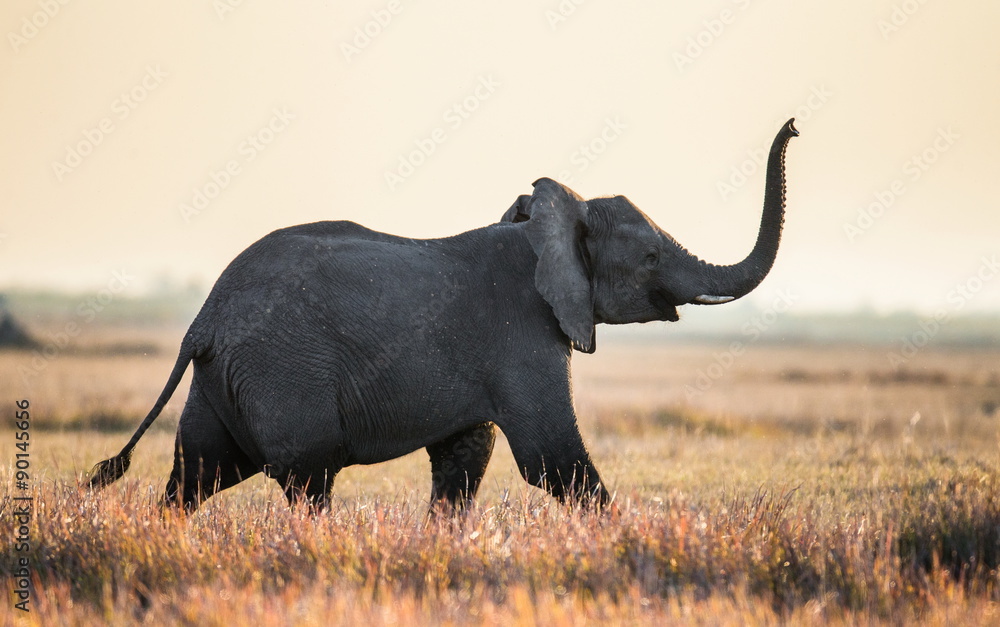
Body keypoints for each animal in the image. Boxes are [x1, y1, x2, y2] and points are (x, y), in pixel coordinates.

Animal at [88, 119, 798, 512]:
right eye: (650, 256)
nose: (793, 126)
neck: (547, 224)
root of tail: (202, 320)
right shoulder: (524, 334)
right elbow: (553, 459)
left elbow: (465, 460)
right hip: (281, 370)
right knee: (307, 477)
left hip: (225, 380)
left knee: (195, 476)